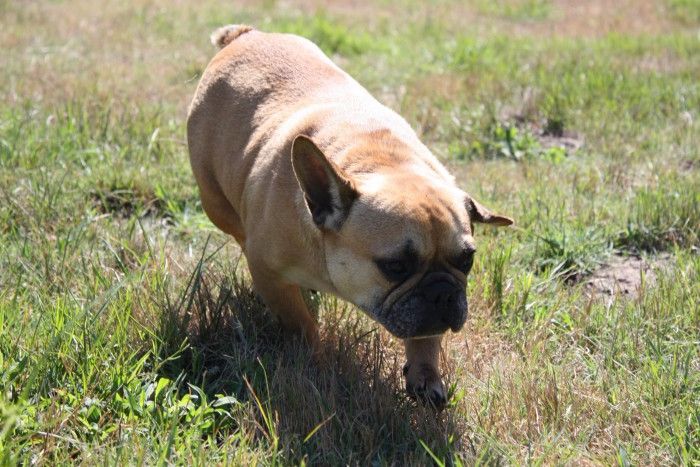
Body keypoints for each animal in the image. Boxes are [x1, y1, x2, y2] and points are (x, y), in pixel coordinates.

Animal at [189, 24, 512, 406]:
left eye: (467, 261)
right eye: (395, 266)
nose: (443, 294)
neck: (380, 162)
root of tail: (246, 35)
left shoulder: (425, 315)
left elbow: (426, 334)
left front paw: (425, 373)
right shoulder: (270, 273)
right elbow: (300, 324)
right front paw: (315, 362)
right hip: (214, 201)